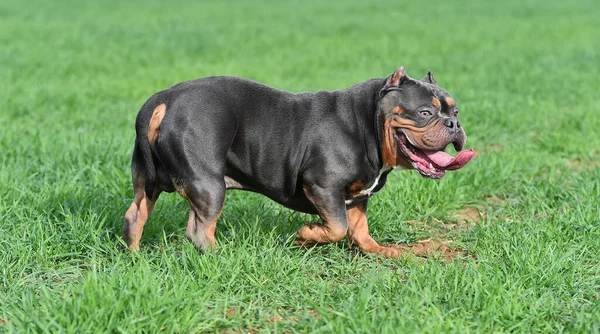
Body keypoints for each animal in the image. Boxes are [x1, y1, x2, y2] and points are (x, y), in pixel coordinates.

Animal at [124, 66, 476, 258]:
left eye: (456, 110)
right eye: (425, 113)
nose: (455, 124)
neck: (367, 123)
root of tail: (163, 100)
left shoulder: (357, 196)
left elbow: (359, 228)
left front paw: (378, 250)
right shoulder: (323, 187)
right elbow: (337, 227)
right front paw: (306, 236)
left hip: (150, 181)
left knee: (136, 215)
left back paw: (134, 258)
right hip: (209, 185)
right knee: (200, 230)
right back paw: (219, 258)